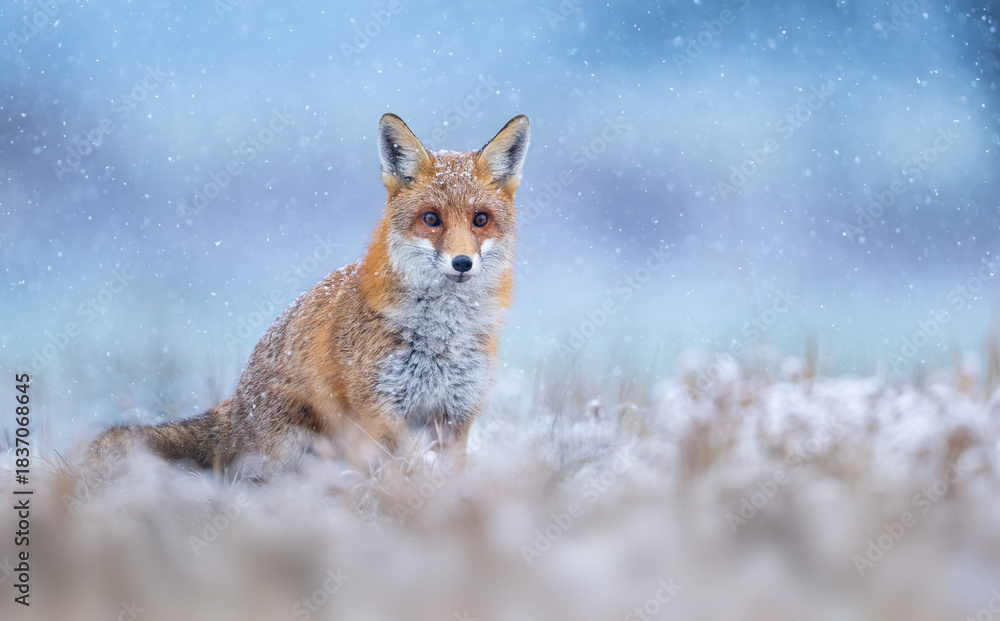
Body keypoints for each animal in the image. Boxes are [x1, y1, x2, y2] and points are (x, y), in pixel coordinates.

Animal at [91, 113, 529, 475]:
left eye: (480, 220)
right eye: (431, 219)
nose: (462, 263)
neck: (441, 335)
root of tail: (234, 406)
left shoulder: (455, 414)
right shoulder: (380, 411)